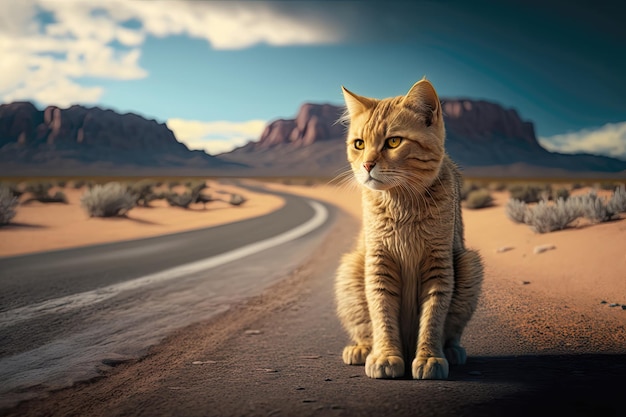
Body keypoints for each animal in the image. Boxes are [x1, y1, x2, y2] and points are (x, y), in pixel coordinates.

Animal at [332, 76, 482, 378]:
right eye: (359, 144)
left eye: (393, 142)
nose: (367, 164)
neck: (403, 205)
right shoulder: (379, 263)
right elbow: (382, 315)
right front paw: (385, 356)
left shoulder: (438, 265)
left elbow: (433, 317)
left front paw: (429, 358)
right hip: (351, 267)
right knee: (365, 329)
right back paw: (362, 349)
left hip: (469, 264)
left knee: (451, 332)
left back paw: (451, 351)